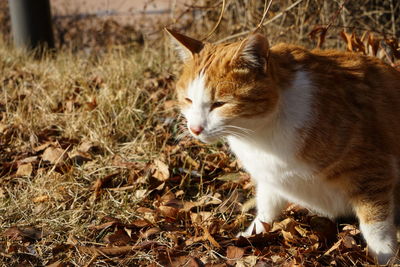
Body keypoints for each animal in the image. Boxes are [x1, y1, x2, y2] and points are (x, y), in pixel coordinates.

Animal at [166, 28, 400, 264]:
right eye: (188, 100)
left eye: (219, 104)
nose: (195, 128)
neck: (258, 135)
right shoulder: (271, 178)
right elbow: (266, 209)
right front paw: (252, 234)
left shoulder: (370, 169)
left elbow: (375, 222)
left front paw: (385, 255)